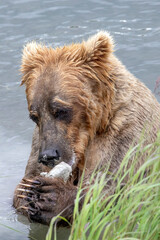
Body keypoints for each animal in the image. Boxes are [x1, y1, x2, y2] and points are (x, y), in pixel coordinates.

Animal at [13, 31, 160, 225]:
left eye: (60, 110)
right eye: (34, 116)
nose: (48, 155)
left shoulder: (129, 135)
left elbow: (118, 191)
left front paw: (50, 196)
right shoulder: (40, 139)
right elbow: (26, 181)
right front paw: (28, 190)